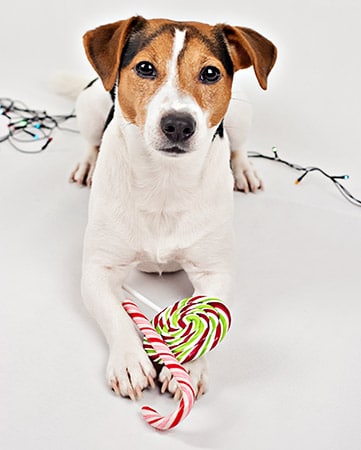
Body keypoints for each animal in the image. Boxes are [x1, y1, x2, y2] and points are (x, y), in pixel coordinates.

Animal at [71, 15, 278, 400]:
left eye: (210, 73)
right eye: (145, 68)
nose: (179, 124)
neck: (164, 181)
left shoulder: (216, 273)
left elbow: (208, 317)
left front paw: (189, 367)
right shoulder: (97, 270)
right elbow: (116, 315)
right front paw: (129, 360)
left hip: (242, 113)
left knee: (239, 146)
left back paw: (244, 171)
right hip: (89, 105)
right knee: (90, 141)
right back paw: (86, 165)